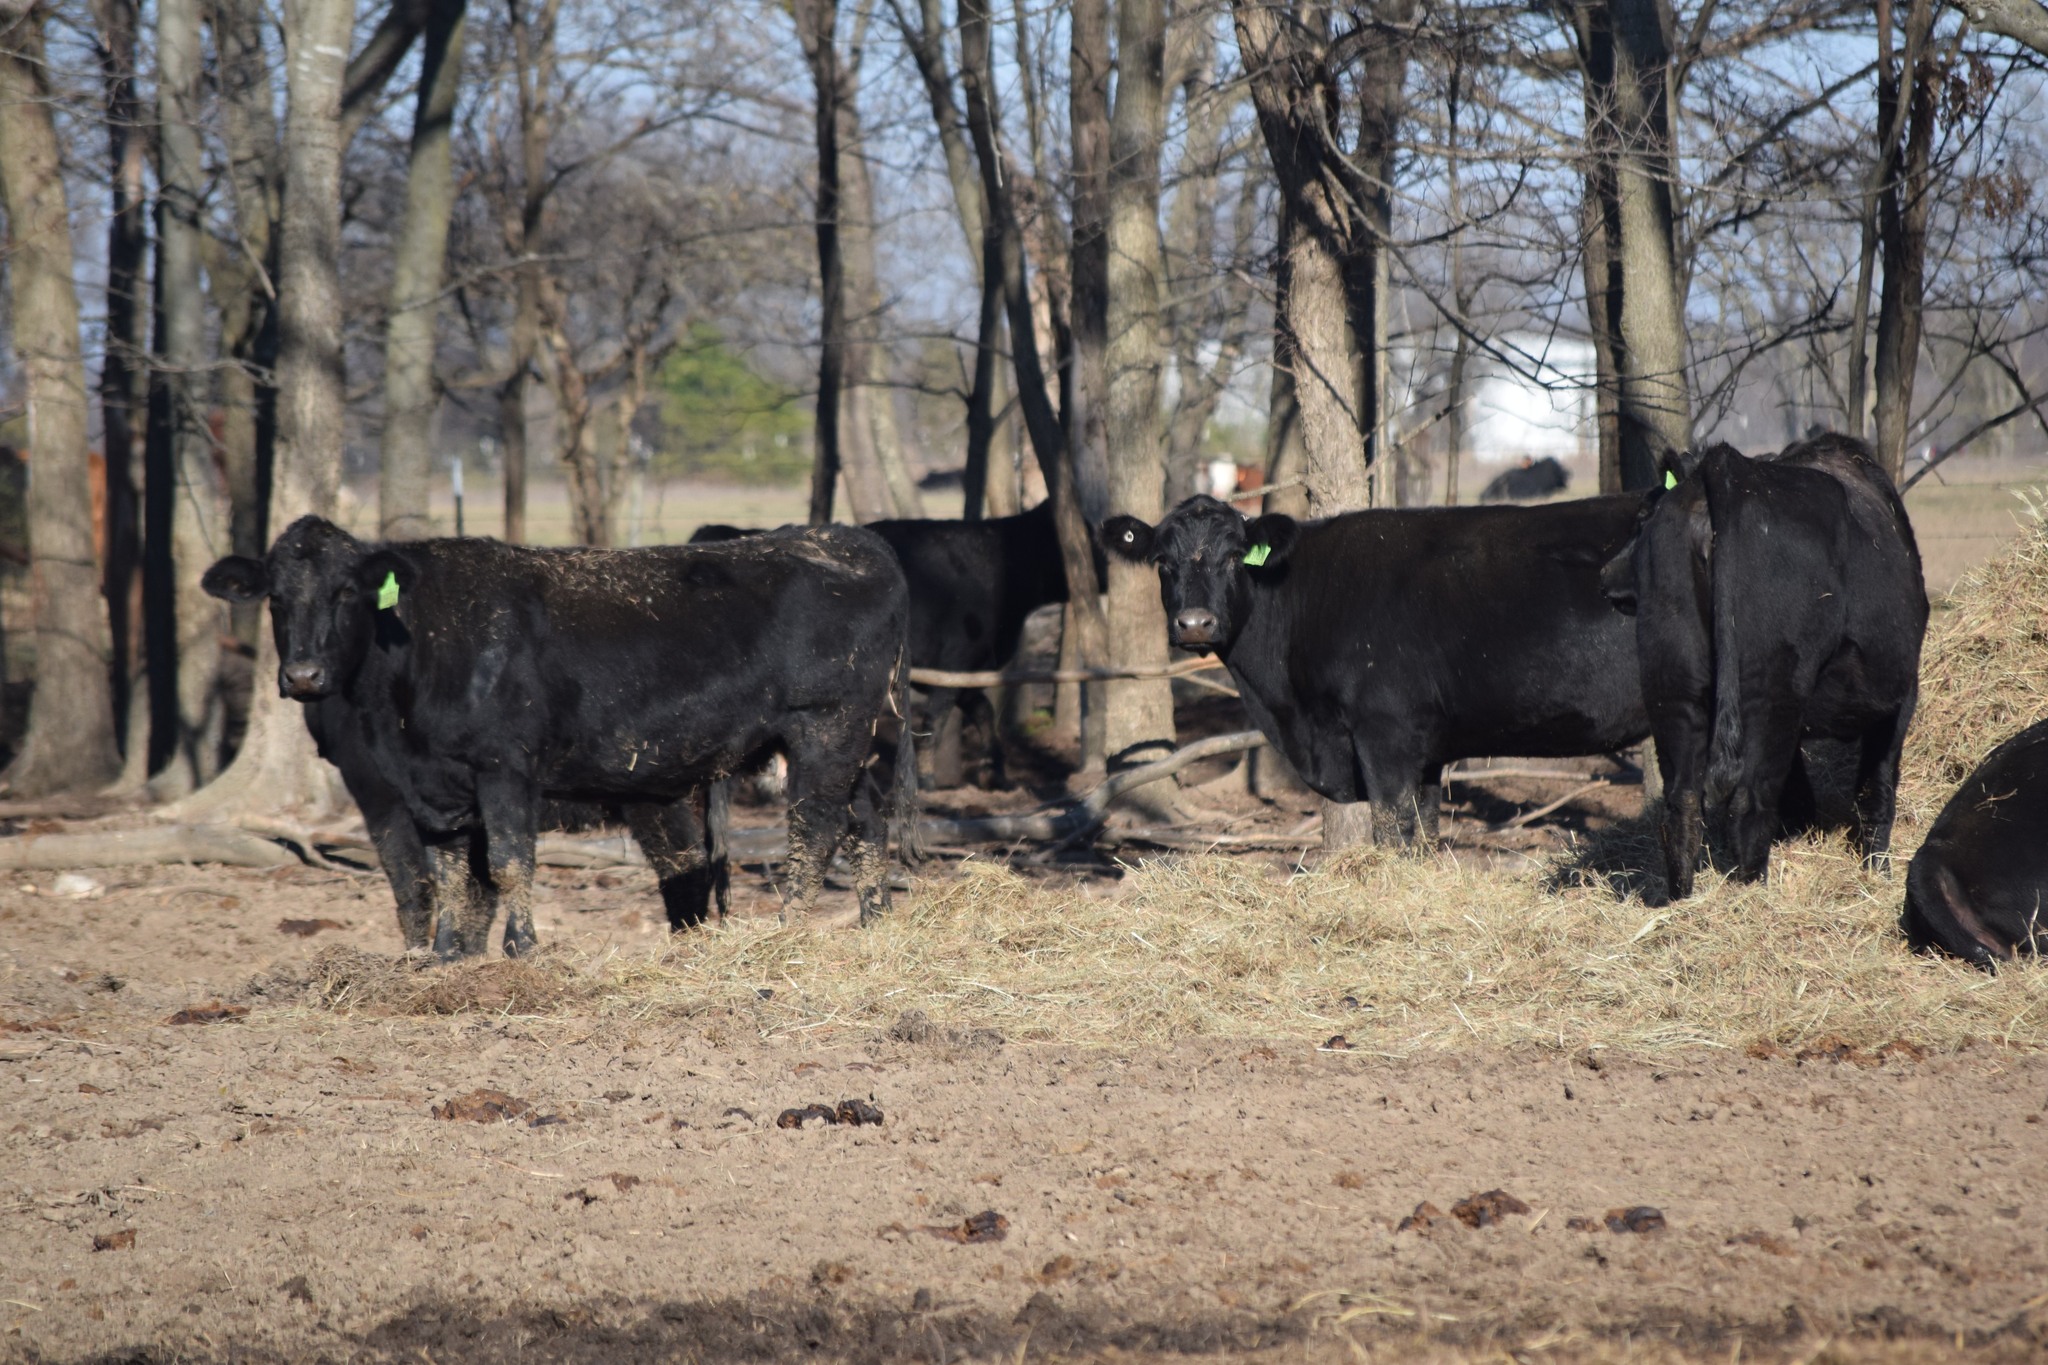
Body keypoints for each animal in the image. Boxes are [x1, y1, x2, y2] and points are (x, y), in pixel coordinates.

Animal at [203, 516, 910, 957]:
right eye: (274, 598)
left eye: (347, 591)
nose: (303, 675)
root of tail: (848, 539)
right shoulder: (434, 787)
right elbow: (451, 871)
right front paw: (445, 958)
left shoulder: (504, 766)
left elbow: (508, 863)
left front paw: (522, 950)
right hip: (855, 745)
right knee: (865, 822)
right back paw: (874, 925)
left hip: (825, 729)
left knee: (814, 829)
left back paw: (787, 930)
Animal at [694, 500, 1074, 788]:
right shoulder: (953, 662)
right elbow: (936, 720)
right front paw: (928, 779)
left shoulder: (968, 670)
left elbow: (983, 712)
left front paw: (996, 774)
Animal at [1100, 493, 1650, 847]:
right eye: (1161, 561)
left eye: (1236, 557)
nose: (1195, 623)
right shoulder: (1427, 750)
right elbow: (1425, 832)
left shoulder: (1386, 732)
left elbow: (1391, 831)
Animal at [1600, 434, 1926, 899]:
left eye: (1642, 518)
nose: (1605, 573)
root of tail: (1729, 466)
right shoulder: (1901, 695)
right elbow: (1875, 789)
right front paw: (1876, 873)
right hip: (1774, 688)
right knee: (1750, 803)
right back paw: (1753, 895)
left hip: (1672, 681)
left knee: (1681, 805)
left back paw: (1681, 904)